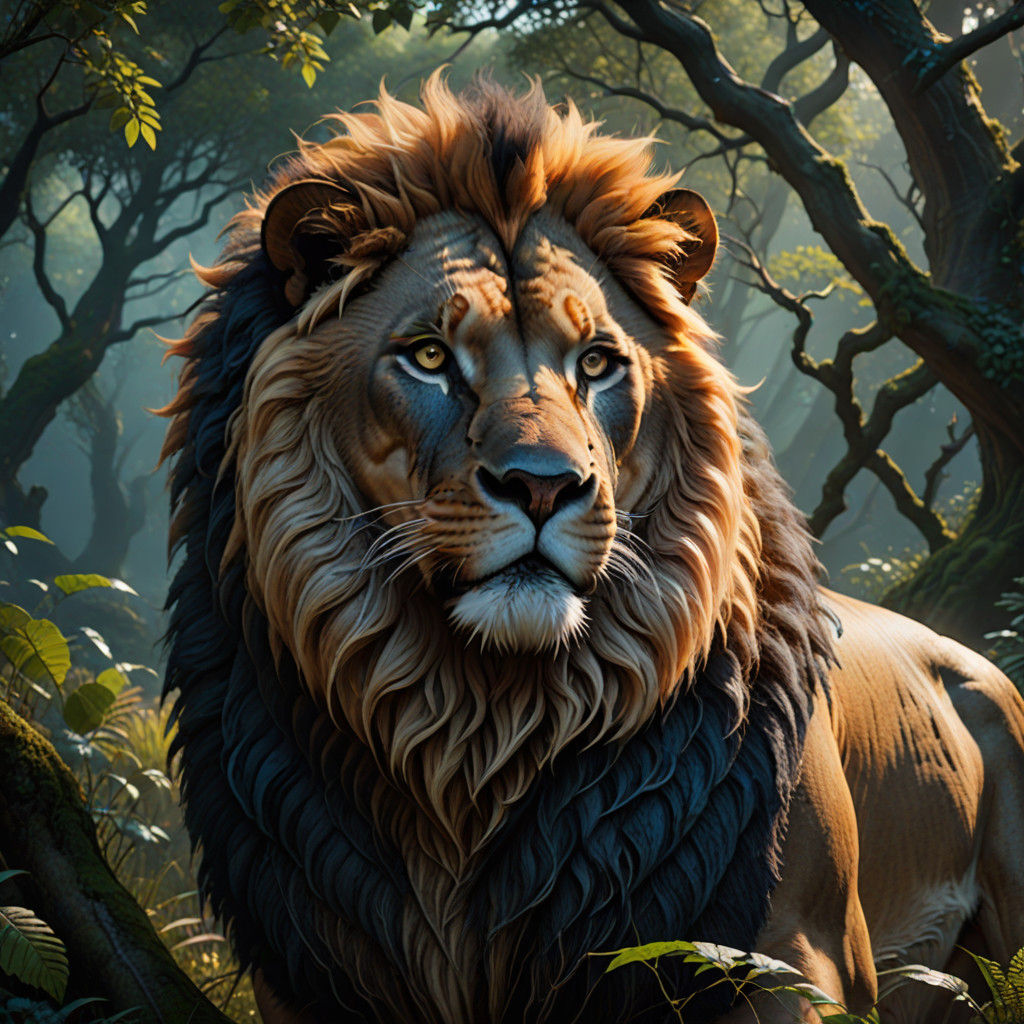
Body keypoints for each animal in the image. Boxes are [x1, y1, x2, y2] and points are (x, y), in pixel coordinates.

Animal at [161, 75, 1024, 1024]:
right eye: (428, 356)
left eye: (600, 363)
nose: (543, 485)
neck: (481, 733)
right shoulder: (308, 976)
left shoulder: (806, 958)